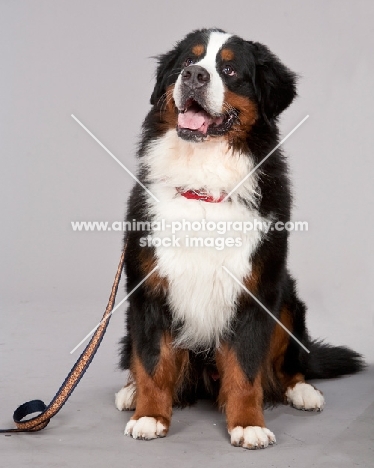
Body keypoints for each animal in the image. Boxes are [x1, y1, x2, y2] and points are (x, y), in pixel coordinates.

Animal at [115, 27, 364, 448]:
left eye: (229, 70)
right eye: (187, 61)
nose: (195, 76)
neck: (203, 182)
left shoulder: (254, 289)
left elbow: (246, 370)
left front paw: (248, 423)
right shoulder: (149, 288)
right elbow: (152, 361)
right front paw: (149, 415)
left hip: (286, 300)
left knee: (288, 366)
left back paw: (302, 391)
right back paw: (130, 392)